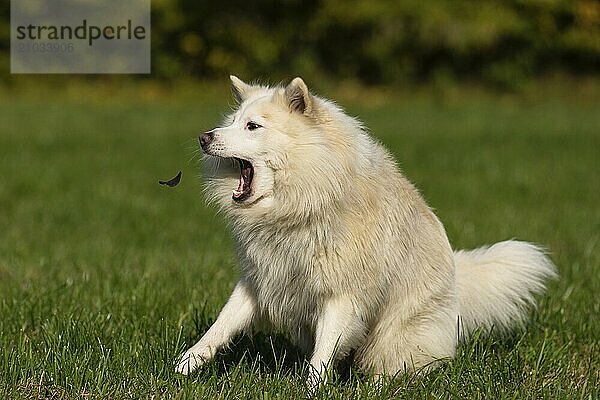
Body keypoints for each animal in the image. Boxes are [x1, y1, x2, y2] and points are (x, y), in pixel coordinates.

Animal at [175, 76, 556, 388]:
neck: (307, 200)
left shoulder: (342, 294)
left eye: (253, 126)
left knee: (393, 366)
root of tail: (456, 278)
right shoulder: (260, 280)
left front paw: (312, 388)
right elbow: (220, 326)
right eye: (231, 123)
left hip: (394, 337)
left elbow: (324, 352)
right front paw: (186, 364)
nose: (203, 138)